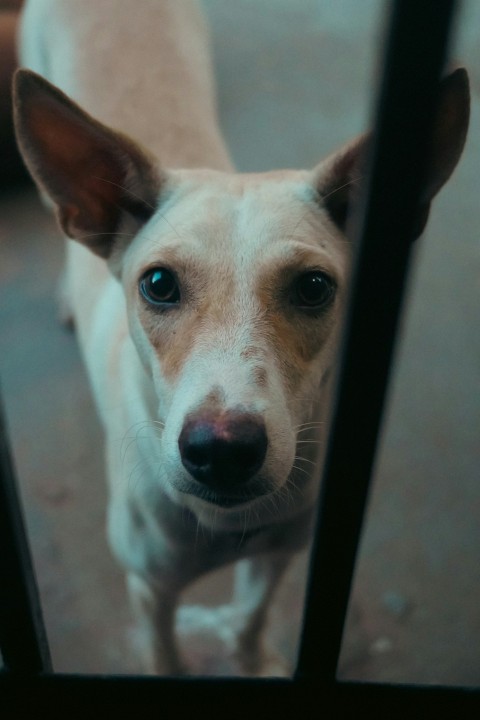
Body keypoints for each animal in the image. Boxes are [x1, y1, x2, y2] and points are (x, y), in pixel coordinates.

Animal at [13, 0, 470, 676]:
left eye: (314, 287)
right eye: (157, 284)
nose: (222, 451)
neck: (227, 527)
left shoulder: (278, 554)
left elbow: (252, 616)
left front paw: (254, 661)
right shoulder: (149, 592)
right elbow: (166, 655)